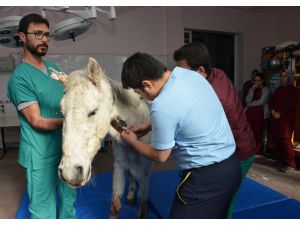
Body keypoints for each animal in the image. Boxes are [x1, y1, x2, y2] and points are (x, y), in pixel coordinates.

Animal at [51, 57, 154, 218]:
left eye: (93, 111)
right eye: (62, 112)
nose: (70, 172)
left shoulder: (145, 172)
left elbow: (143, 206)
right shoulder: (119, 166)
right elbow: (115, 206)